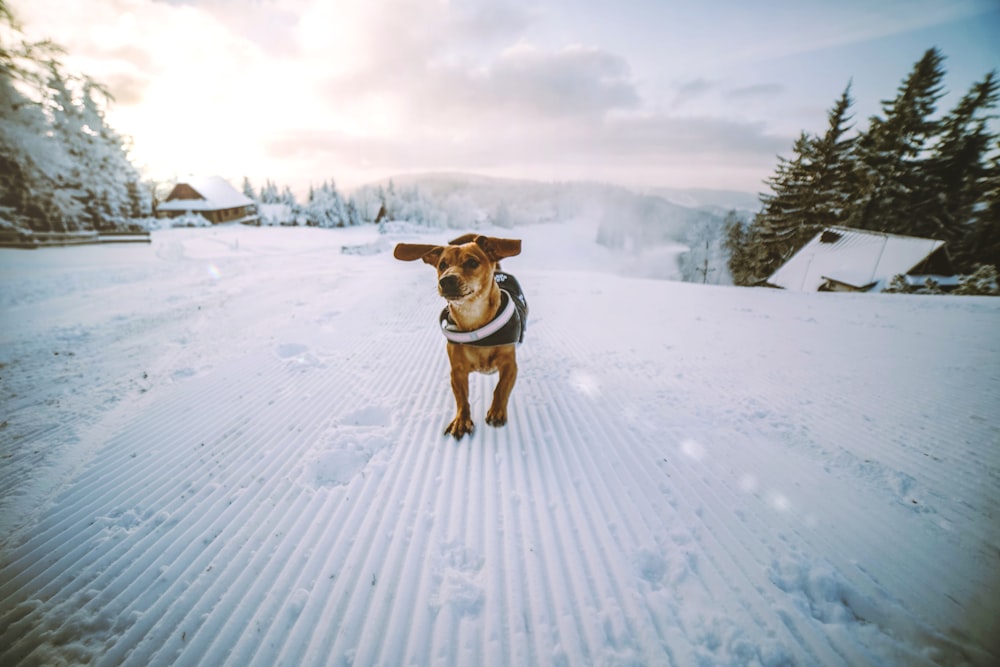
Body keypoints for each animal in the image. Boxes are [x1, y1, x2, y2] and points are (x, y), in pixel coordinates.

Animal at [394, 237, 528, 440]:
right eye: (442, 265)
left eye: (472, 262)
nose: (446, 280)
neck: (473, 319)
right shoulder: (456, 371)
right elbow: (462, 398)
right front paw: (461, 421)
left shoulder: (510, 365)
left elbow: (501, 387)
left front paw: (496, 411)